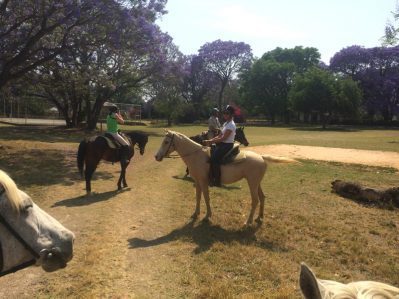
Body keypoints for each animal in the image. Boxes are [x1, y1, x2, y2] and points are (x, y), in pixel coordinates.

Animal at [156, 130, 296, 226]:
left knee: (255, 200)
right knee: (262, 197)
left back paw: (248, 221)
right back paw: (259, 218)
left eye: (166, 142)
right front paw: (196, 214)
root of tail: (261, 157)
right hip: (257, 183)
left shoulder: (203, 182)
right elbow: (198, 197)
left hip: (252, 183)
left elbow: (206, 198)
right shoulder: (197, 182)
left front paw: (207, 216)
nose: (156, 157)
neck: (197, 156)